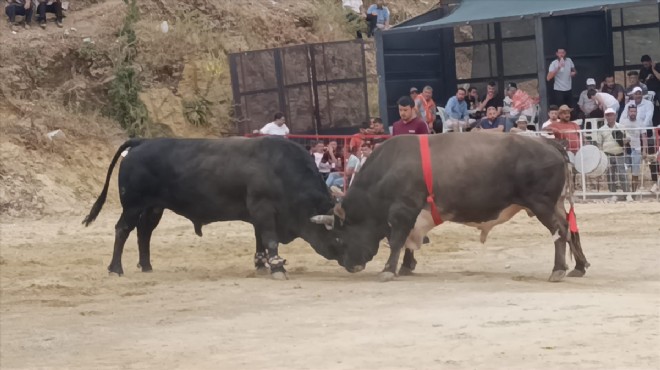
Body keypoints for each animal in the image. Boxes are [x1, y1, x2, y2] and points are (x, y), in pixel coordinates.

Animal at [81, 136, 346, 278]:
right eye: (336, 232)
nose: (345, 258)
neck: (281, 170)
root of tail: (142, 141)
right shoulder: (264, 211)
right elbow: (270, 240)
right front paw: (277, 267)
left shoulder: (258, 215)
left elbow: (260, 240)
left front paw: (261, 264)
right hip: (133, 206)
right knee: (123, 230)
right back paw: (116, 268)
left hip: (153, 208)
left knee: (144, 233)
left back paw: (146, 266)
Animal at [312, 134, 592, 282]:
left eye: (340, 236)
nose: (349, 265)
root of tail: (548, 142)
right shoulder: (413, 215)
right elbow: (408, 242)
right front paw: (406, 266)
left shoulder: (402, 210)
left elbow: (397, 240)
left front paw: (388, 269)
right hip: (554, 204)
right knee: (570, 228)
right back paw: (579, 266)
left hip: (542, 204)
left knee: (559, 231)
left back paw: (558, 269)